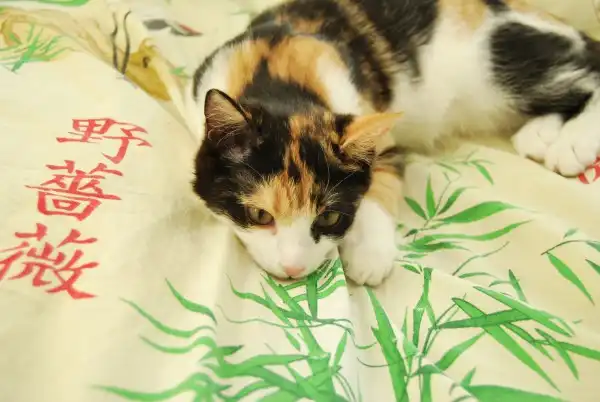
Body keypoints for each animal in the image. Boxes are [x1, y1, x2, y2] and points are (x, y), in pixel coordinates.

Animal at [190, 0, 600, 286]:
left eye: (329, 217)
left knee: (588, 73)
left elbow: (380, 184)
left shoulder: (379, 133)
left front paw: (369, 255)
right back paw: (541, 134)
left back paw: (572, 143)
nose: (294, 267)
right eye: (260, 216)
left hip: (502, 56)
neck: (278, 75)